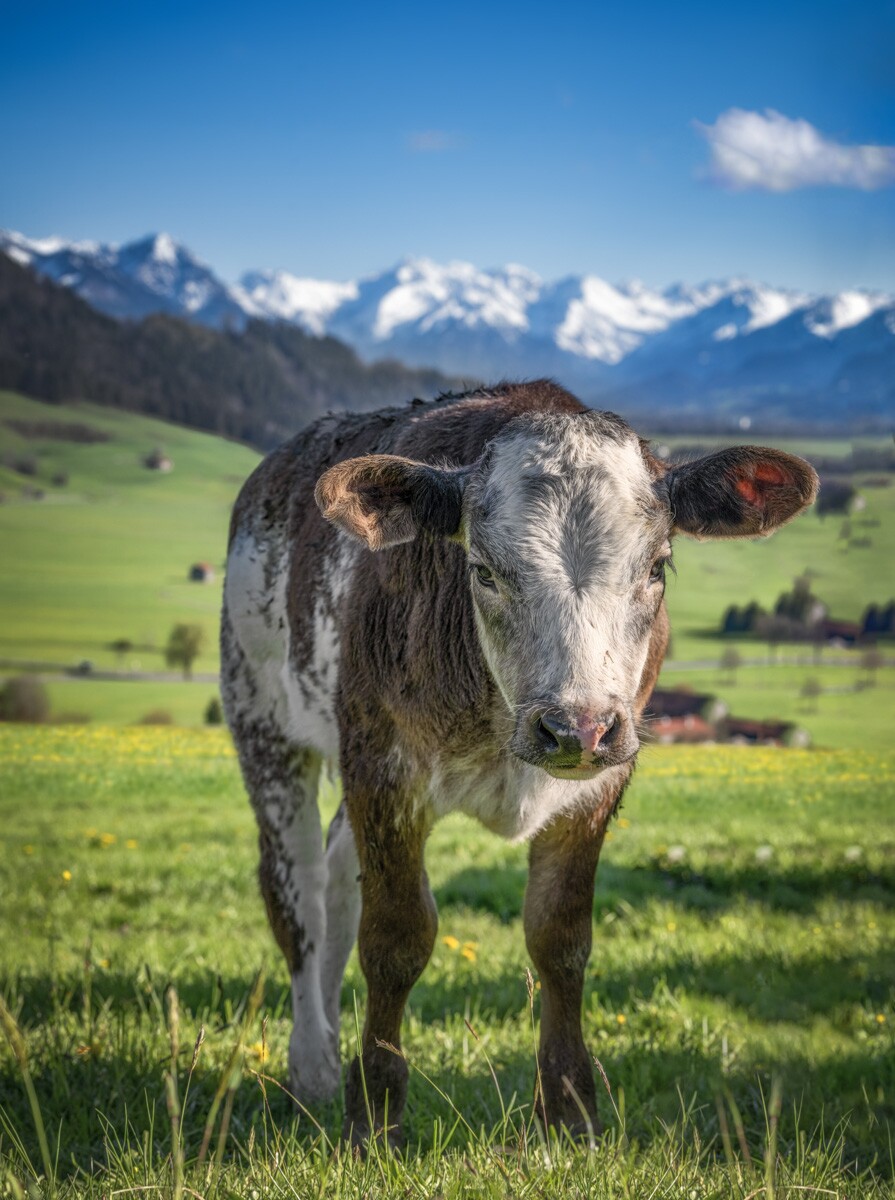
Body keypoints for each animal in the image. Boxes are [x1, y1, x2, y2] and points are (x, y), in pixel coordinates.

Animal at [221, 380, 818, 1147]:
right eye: (482, 570)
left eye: (657, 567)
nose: (575, 728)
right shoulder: (384, 769)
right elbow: (395, 937)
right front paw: (374, 1115)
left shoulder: (598, 784)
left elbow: (559, 938)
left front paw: (568, 1112)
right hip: (263, 721)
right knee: (296, 894)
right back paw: (314, 1065)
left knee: (336, 883)